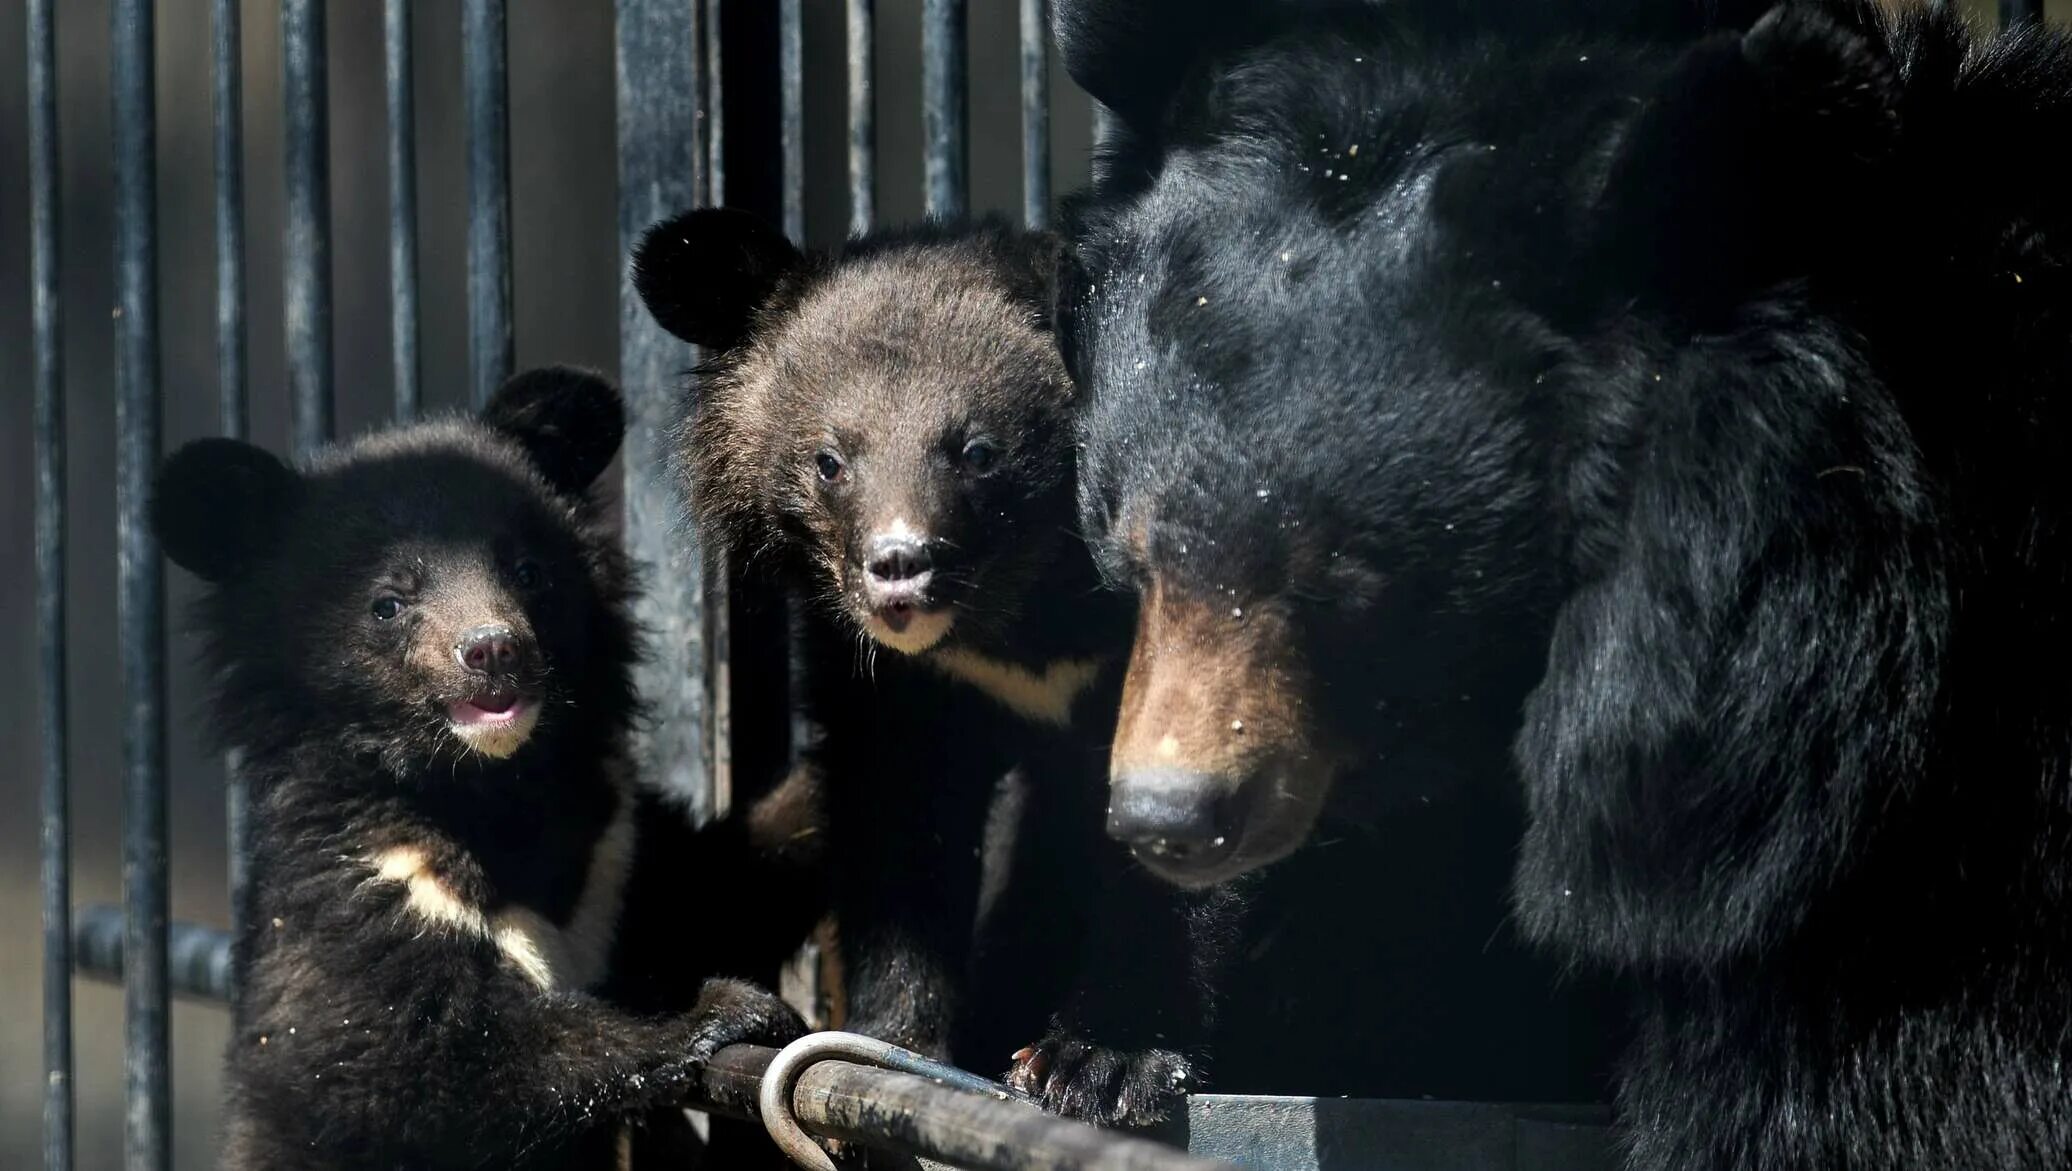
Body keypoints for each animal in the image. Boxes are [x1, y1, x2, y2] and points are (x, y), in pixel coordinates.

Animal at [153, 366, 812, 1168]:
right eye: (388, 603)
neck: (489, 788)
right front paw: (729, 1009)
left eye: (527, 571)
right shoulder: (361, 885)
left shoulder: (618, 853)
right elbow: (417, 1060)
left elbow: (721, 882)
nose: (493, 648)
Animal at [621, 212, 1218, 1119]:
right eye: (829, 460)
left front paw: (1100, 1065)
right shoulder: (892, 684)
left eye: (978, 452)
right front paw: (900, 1045)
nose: (898, 568)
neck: (1018, 607)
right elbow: (898, 824)